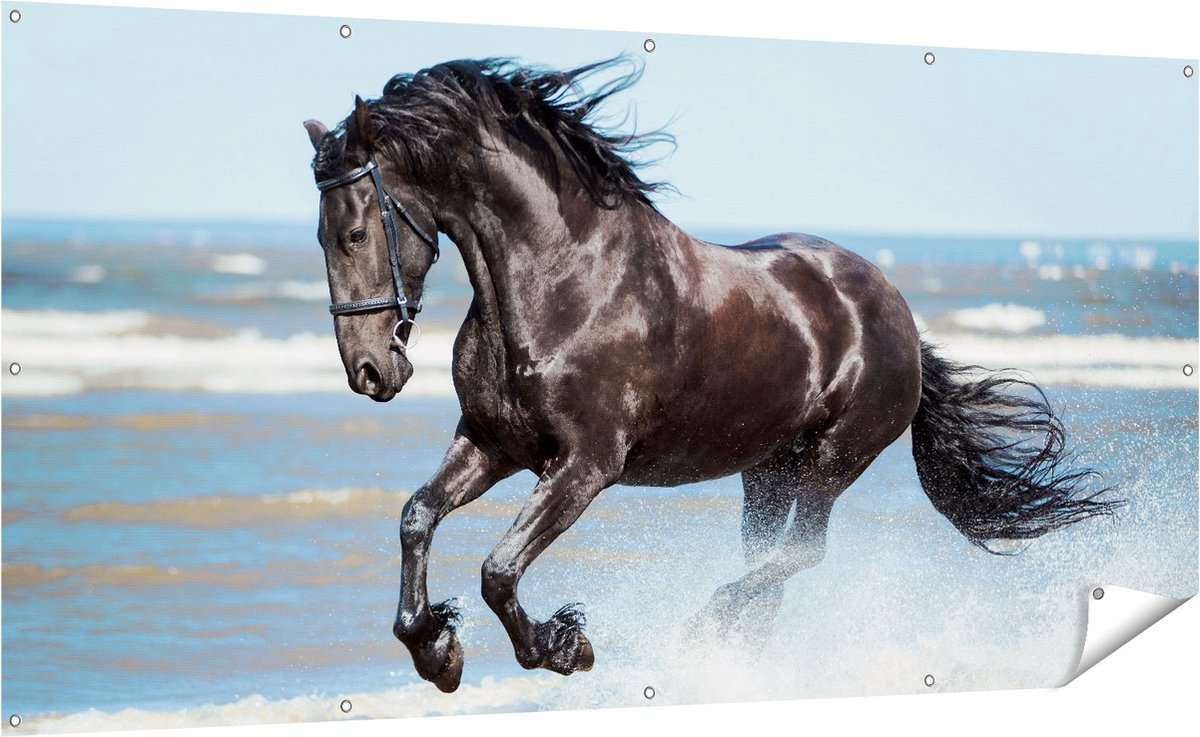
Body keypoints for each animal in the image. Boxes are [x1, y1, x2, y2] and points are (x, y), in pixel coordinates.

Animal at [303, 57, 1119, 693]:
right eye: (319, 235)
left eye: (356, 231)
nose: (370, 370)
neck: (562, 279)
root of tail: (900, 315)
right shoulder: (492, 442)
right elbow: (417, 516)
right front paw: (435, 650)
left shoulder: (585, 465)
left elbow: (499, 569)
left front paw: (564, 646)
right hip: (768, 468)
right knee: (771, 566)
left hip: (834, 458)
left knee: (799, 553)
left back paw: (702, 631)